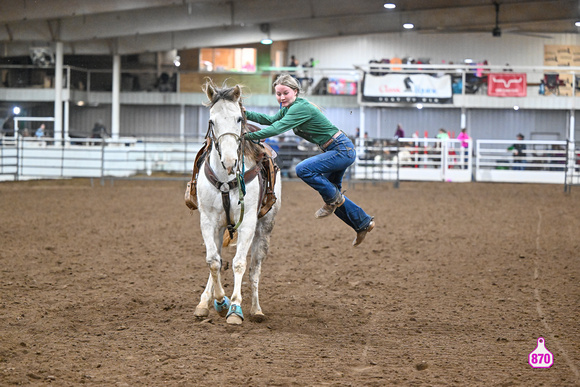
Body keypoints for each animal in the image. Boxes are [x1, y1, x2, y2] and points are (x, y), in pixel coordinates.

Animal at [193, 80, 280, 326]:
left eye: (239, 118)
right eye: (212, 120)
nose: (230, 161)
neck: (226, 179)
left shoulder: (248, 222)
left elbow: (240, 263)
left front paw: (234, 308)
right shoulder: (208, 220)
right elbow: (213, 261)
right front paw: (219, 302)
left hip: (264, 227)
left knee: (254, 268)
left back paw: (256, 309)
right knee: (217, 259)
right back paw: (204, 302)